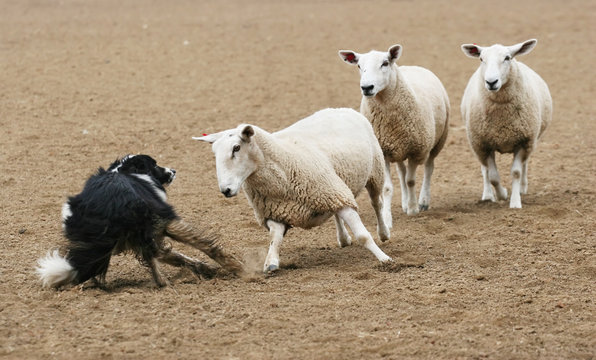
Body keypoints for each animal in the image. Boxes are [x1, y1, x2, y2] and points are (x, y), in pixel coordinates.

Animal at [193, 107, 394, 272]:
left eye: (236, 148)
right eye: (214, 152)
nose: (225, 190)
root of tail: (340, 109)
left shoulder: (335, 195)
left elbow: (363, 236)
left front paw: (385, 259)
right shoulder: (276, 212)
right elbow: (275, 239)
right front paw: (271, 262)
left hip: (373, 173)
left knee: (376, 203)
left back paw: (384, 233)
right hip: (337, 185)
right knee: (338, 214)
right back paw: (343, 238)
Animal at [338, 43, 450, 215]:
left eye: (385, 63)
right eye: (358, 66)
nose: (367, 87)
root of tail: (413, 66)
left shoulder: (416, 151)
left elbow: (411, 181)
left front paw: (413, 209)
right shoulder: (383, 151)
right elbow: (387, 187)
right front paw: (387, 213)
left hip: (437, 142)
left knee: (428, 168)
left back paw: (423, 201)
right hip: (398, 149)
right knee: (402, 172)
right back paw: (405, 202)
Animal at [460, 38, 556, 208]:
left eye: (507, 58)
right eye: (481, 59)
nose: (491, 82)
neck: (502, 119)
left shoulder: (524, 141)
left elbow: (516, 172)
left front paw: (515, 202)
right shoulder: (483, 144)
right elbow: (492, 176)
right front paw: (502, 194)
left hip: (531, 141)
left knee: (524, 164)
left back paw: (523, 188)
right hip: (478, 144)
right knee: (485, 169)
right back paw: (487, 195)